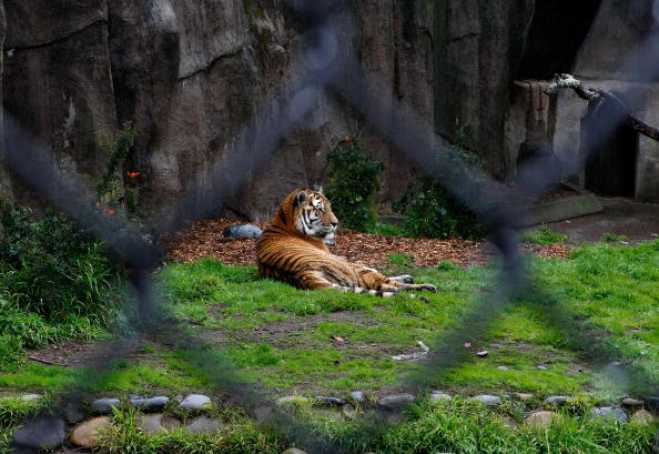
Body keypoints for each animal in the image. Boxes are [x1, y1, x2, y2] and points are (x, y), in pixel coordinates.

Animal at [258, 189, 438, 298]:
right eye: (320, 209)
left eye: (330, 207)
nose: (335, 223)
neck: (285, 220)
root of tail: (301, 274)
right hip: (350, 268)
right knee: (384, 283)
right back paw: (426, 288)